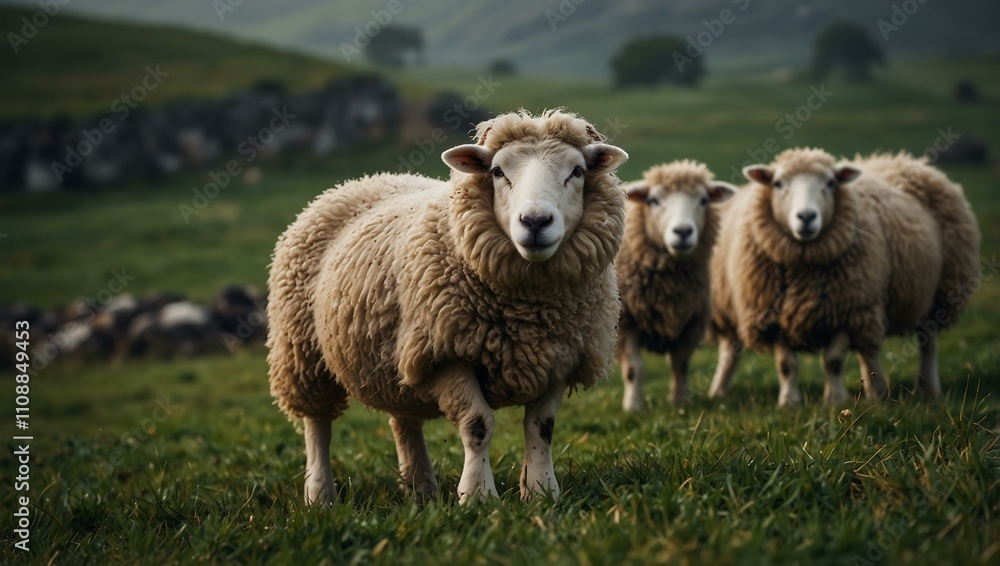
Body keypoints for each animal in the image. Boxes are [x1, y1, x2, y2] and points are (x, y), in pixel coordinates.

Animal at [266, 109, 628, 505]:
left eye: (577, 171)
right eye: (497, 172)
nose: (534, 222)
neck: (528, 313)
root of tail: (362, 180)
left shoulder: (563, 356)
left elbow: (541, 427)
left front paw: (540, 492)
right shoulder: (446, 354)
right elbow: (477, 425)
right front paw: (478, 496)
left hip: (399, 360)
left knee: (404, 420)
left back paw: (420, 489)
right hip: (303, 352)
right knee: (317, 426)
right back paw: (320, 495)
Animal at [615, 161, 737, 411]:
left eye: (703, 200)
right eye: (653, 200)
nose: (682, 231)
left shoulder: (691, 322)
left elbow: (680, 365)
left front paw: (680, 403)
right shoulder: (625, 320)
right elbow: (633, 368)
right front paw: (633, 407)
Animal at [707, 148, 979, 406]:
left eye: (830, 183)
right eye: (778, 183)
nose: (806, 217)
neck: (803, 266)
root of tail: (898, 160)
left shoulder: (848, 308)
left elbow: (834, 360)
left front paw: (835, 400)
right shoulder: (771, 314)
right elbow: (787, 365)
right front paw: (789, 402)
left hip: (937, 296)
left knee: (927, 344)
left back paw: (928, 390)